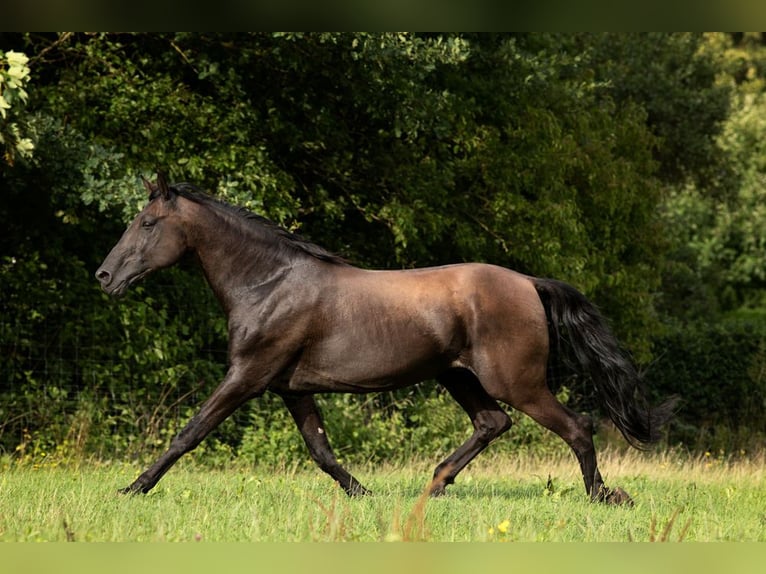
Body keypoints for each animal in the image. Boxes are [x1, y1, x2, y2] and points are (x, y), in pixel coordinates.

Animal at [96, 174, 680, 504]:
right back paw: (434, 487)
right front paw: (365, 494)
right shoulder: (291, 388)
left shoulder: (247, 376)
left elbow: (188, 433)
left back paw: (605, 497)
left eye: (147, 223)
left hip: (515, 381)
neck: (268, 283)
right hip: (459, 376)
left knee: (577, 427)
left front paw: (131, 489)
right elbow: (322, 452)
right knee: (492, 423)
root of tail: (528, 283)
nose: (104, 277)